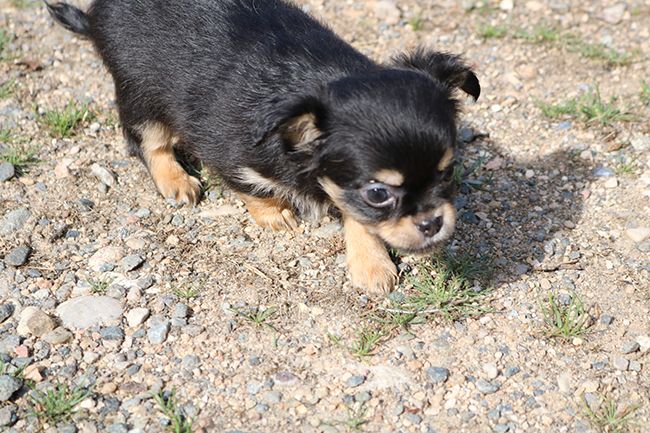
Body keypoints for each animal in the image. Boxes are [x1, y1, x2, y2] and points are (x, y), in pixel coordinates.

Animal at [46, 0, 480, 295]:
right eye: (378, 193)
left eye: (447, 171)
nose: (432, 223)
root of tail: (96, 15)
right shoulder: (230, 153)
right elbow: (255, 189)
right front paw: (276, 214)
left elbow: (355, 216)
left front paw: (370, 265)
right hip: (141, 96)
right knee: (146, 143)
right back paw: (175, 180)